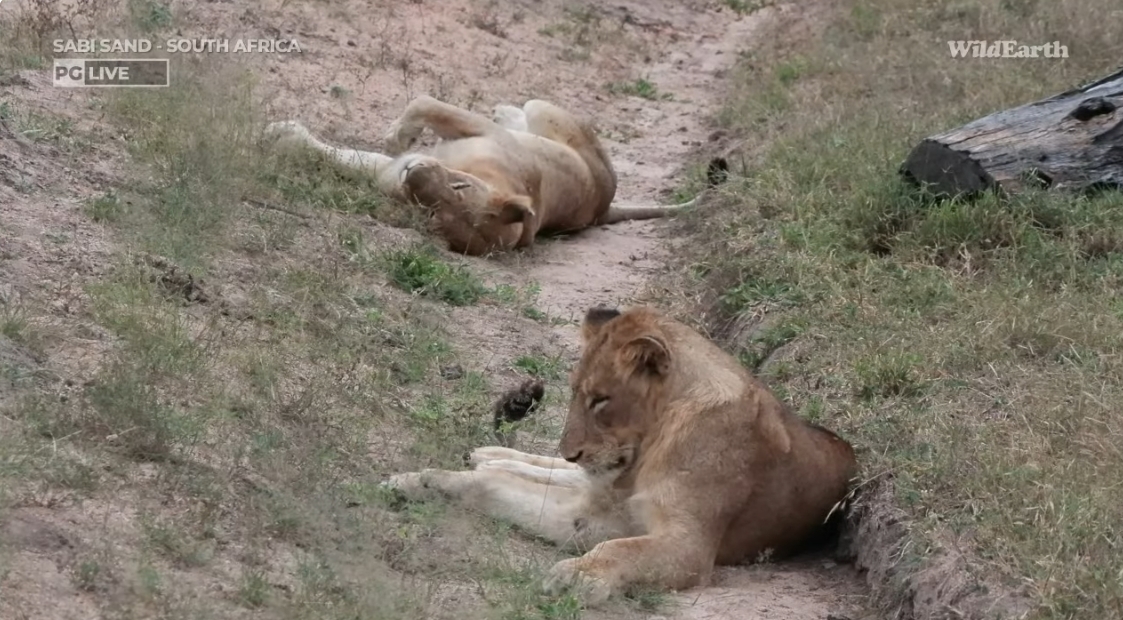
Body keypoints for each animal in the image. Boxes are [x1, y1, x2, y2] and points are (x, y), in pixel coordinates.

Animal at [263, 95, 723, 254]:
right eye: (458, 185)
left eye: (433, 214)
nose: (415, 174)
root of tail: (604, 207)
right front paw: (281, 134)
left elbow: (422, 103)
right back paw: (504, 109)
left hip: (546, 110)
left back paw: (505, 108)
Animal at [381, 305, 853, 606]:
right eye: (575, 393)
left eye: (601, 400)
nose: (571, 451)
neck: (654, 444)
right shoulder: (602, 510)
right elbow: (492, 487)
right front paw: (420, 481)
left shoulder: (685, 543)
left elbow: (622, 550)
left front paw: (578, 576)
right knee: (542, 471)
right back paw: (489, 452)